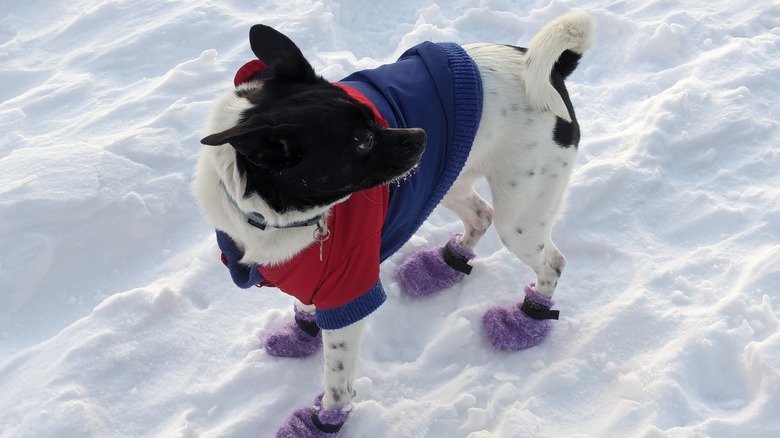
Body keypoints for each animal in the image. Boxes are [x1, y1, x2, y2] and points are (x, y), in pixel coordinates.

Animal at [192, 12, 596, 436]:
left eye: (372, 118)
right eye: (361, 139)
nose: (422, 133)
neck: (273, 216)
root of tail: (545, 67)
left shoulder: (350, 285)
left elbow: (337, 379)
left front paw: (322, 421)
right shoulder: (308, 271)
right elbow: (305, 305)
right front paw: (300, 334)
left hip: (520, 217)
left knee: (552, 263)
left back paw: (525, 320)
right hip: (448, 175)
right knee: (480, 214)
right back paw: (446, 263)